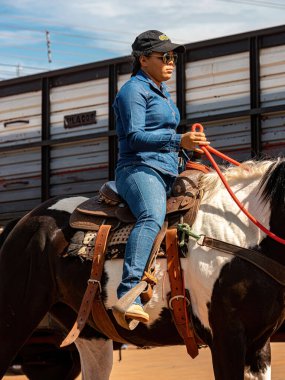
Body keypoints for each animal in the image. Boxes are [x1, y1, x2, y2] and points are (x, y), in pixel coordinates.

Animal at [0, 158, 282, 380]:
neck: (241, 233)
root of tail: (24, 220)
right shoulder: (226, 339)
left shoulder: (258, 345)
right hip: (15, 318)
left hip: (90, 333)